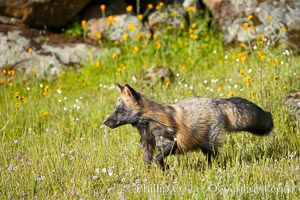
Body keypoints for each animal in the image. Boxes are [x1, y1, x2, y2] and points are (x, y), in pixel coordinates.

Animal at [103, 83, 274, 170]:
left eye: (120, 110)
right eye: (115, 109)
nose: (105, 122)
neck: (149, 123)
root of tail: (217, 101)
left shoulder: (170, 143)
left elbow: (158, 160)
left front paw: (166, 172)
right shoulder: (148, 146)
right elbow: (148, 163)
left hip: (208, 145)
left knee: (215, 159)